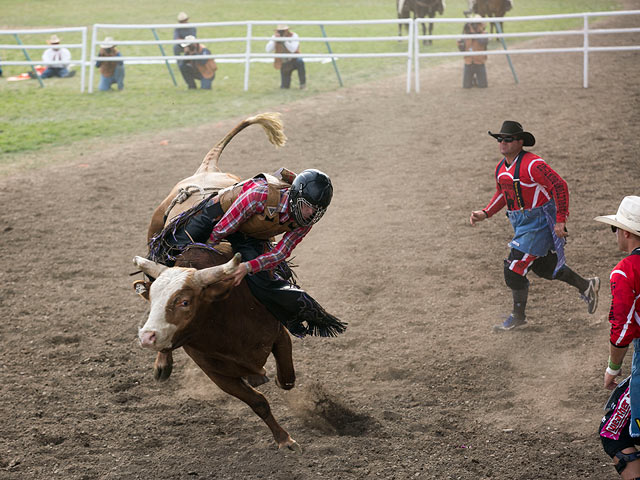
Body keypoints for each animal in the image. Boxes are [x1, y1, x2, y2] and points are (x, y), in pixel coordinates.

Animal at [132, 114, 312, 452]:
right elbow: (258, 402)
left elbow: (286, 379)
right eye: (153, 301)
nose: (147, 336)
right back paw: (162, 364)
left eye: (185, 301)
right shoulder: (215, 371)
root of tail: (205, 170)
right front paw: (284, 439)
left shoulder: (279, 335)